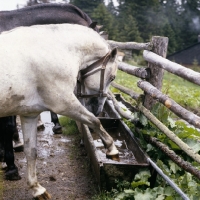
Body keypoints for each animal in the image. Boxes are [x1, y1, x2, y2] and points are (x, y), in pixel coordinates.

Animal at [0, 24, 118, 199]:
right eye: (112, 77)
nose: (97, 109)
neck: (54, 50)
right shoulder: (64, 104)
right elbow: (94, 121)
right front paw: (112, 149)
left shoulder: (29, 115)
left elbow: (31, 151)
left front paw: (37, 189)